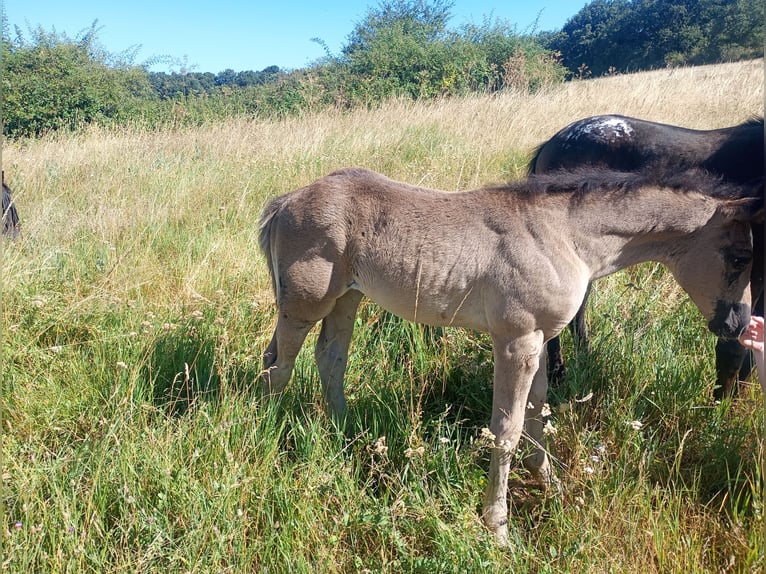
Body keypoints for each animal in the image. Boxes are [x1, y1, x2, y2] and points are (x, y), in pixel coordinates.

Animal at [258, 166, 761, 544]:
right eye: (739, 257)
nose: (739, 325)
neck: (565, 237)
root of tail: (285, 200)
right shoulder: (515, 341)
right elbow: (507, 429)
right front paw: (498, 527)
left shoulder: (539, 340)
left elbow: (538, 414)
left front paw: (551, 485)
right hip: (305, 303)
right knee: (277, 367)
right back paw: (272, 439)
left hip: (348, 298)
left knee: (330, 359)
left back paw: (348, 437)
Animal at [529, 115, 764, 398]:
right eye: (739, 259)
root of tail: (552, 141)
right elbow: (734, 348)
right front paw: (722, 404)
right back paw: (558, 374)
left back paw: (582, 362)